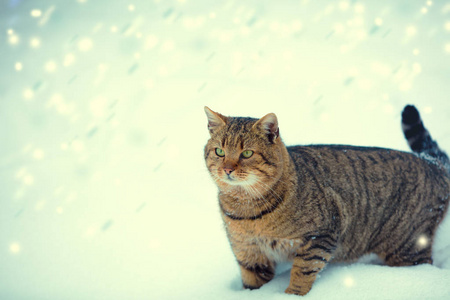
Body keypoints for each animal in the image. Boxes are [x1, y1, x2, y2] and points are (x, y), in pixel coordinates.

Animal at [205, 105, 450, 296]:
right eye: (219, 151)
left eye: (247, 153)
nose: (227, 169)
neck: (246, 210)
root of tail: (430, 163)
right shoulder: (248, 252)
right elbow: (252, 282)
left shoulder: (321, 235)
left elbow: (303, 271)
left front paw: (291, 294)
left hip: (408, 248)